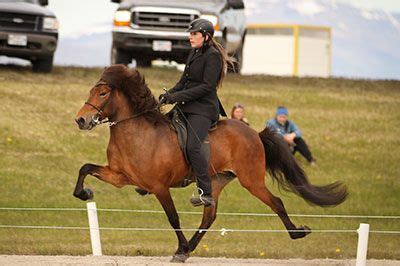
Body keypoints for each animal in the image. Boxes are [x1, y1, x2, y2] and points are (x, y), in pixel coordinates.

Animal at [74, 64, 346, 262]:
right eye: (90, 91)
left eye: (102, 93)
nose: (81, 120)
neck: (137, 132)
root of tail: (254, 133)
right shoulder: (120, 177)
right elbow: (85, 168)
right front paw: (84, 193)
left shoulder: (159, 187)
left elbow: (173, 218)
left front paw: (180, 247)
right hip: (215, 180)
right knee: (209, 216)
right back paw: (189, 249)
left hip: (251, 179)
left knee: (276, 202)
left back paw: (297, 232)